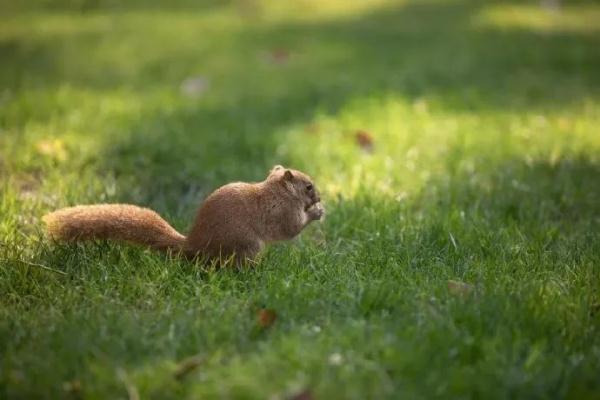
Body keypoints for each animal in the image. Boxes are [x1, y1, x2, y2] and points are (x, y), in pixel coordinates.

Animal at [43, 166, 324, 266]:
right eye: (308, 186)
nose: (319, 197)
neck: (275, 191)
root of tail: (194, 246)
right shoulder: (282, 213)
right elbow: (291, 229)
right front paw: (316, 213)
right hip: (246, 246)